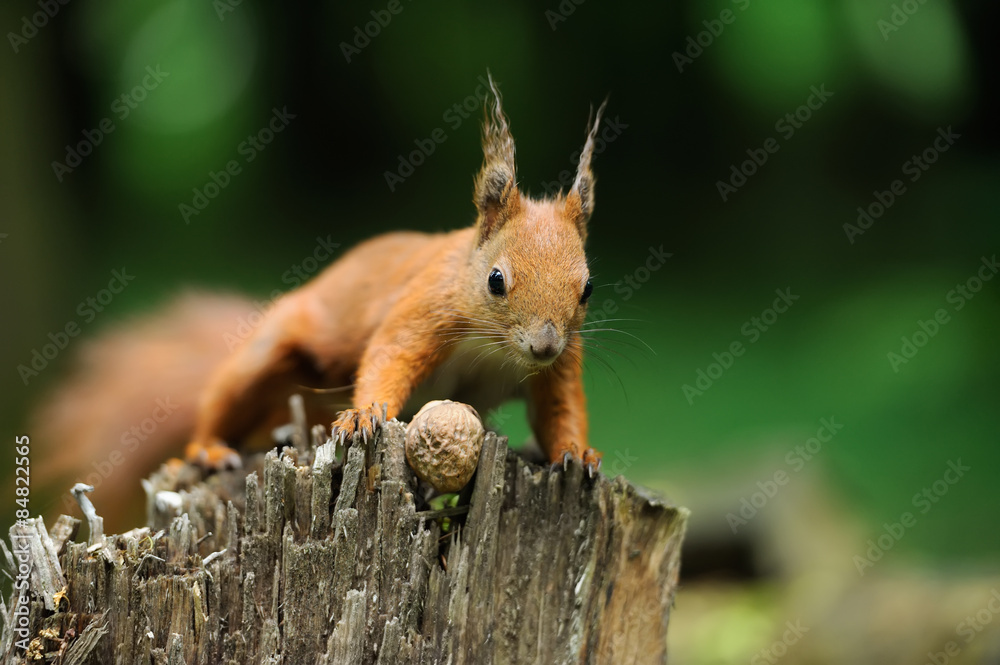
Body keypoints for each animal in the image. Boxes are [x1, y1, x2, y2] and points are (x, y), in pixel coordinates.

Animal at [31, 76, 604, 524]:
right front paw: (364, 416)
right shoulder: (423, 311)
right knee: (221, 402)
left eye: (588, 288)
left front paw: (578, 455)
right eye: (496, 280)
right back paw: (209, 449)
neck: (493, 347)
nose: (543, 345)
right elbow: (389, 357)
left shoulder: (560, 367)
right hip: (272, 350)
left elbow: (559, 411)